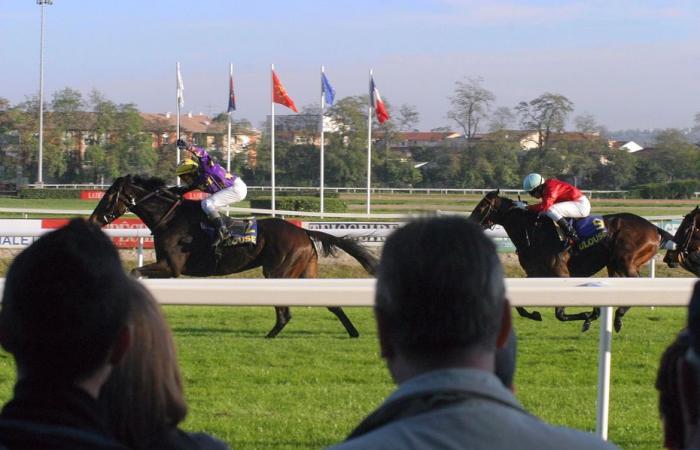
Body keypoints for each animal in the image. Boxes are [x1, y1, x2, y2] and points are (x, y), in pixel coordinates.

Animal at [91, 175, 380, 338]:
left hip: (278, 272)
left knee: (285, 313)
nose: (94, 219)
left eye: (109, 195)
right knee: (332, 304)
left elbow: (135, 272)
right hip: (304, 273)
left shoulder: (171, 266)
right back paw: (353, 332)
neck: (170, 218)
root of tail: (304, 231)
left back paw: (270, 336)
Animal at [468, 188, 676, 332]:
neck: (534, 233)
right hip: (615, 265)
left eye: (482, 206)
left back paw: (618, 317)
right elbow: (518, 304)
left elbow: (560, 314)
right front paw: (534, 314)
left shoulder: (561, 275)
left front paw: (588, 316)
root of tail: (654, 228)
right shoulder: (536, 274)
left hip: (625, 261)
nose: (470, 222)